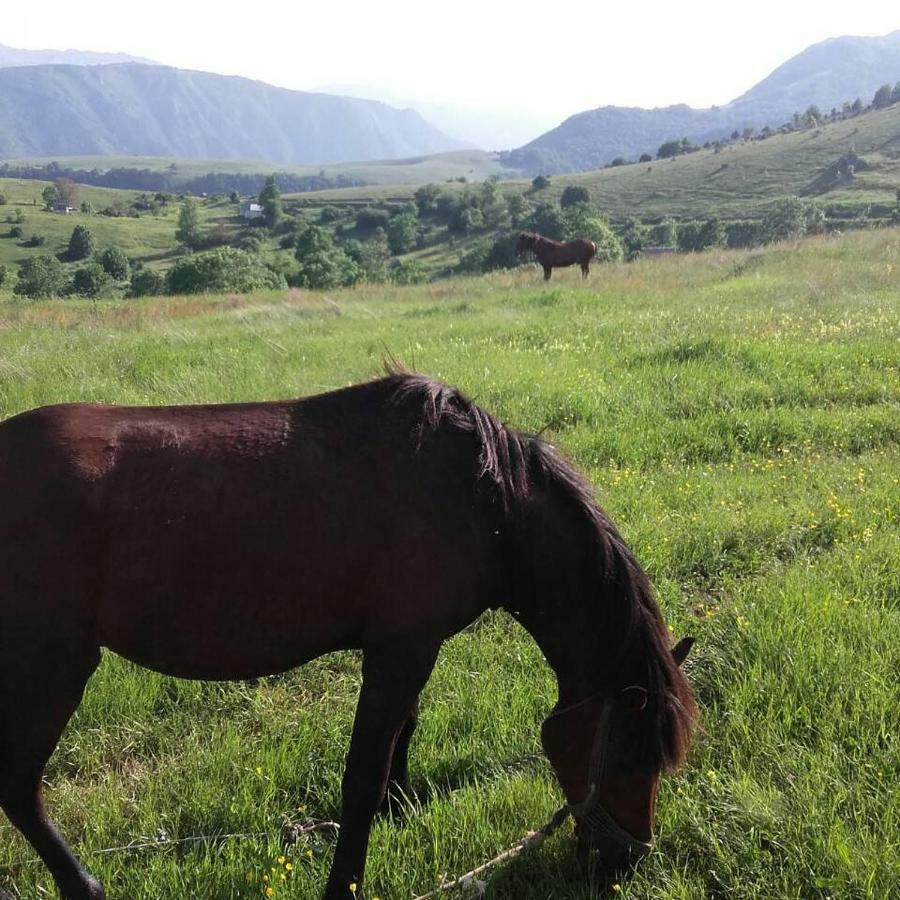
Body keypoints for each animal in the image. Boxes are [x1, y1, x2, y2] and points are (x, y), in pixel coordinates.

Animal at [0, 370, 696, 900]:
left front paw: (400, 809)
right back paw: (84, 886)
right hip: (52, 665)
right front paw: (347, 881)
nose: (629, 859)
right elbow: (360, 777)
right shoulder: (399, 650)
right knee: (18, 783)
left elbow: (402, 734)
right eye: (630, 757)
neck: (480, 497)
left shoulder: (413, 646)